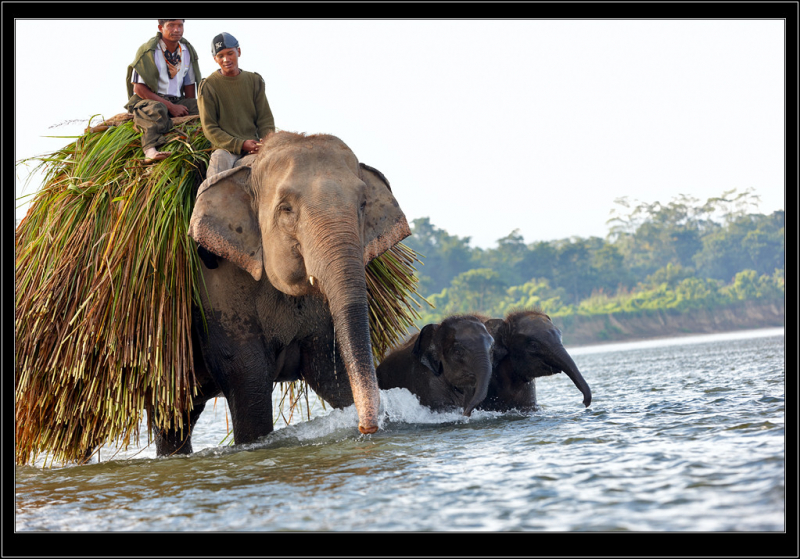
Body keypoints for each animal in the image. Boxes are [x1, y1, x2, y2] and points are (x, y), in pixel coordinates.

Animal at [153, 133, 412, 458]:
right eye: (286, 209)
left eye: (364, 203)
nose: (367, 429)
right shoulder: (214, 279)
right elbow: (246, 373)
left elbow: (328, 367)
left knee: (175, 418)